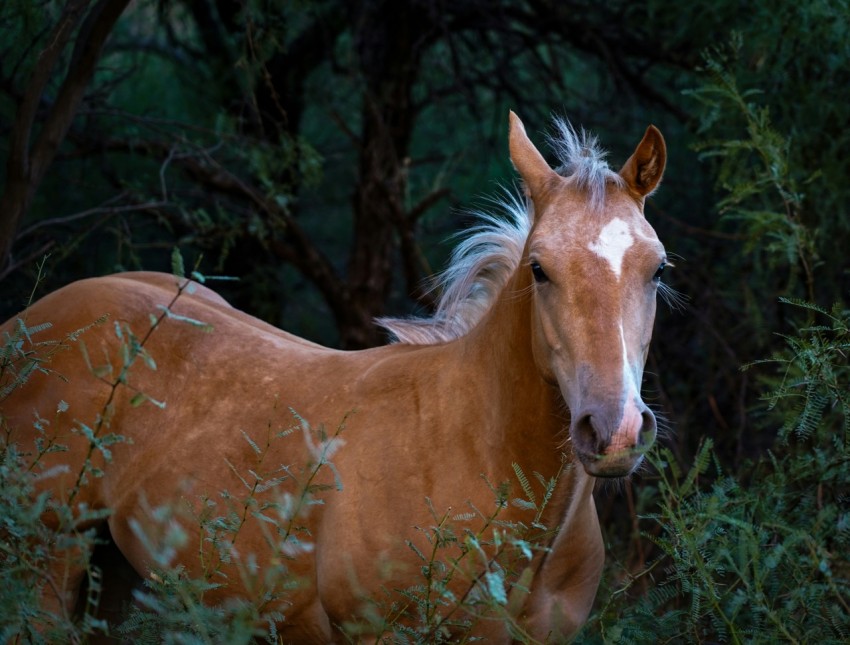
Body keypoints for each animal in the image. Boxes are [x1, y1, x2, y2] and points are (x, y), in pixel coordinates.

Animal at [0, 111, 667, 642]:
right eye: (539, 269)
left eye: (657, 269)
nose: (612, 431)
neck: (472, 448)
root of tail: (22, 327)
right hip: (46, 566)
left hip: (108, 577)